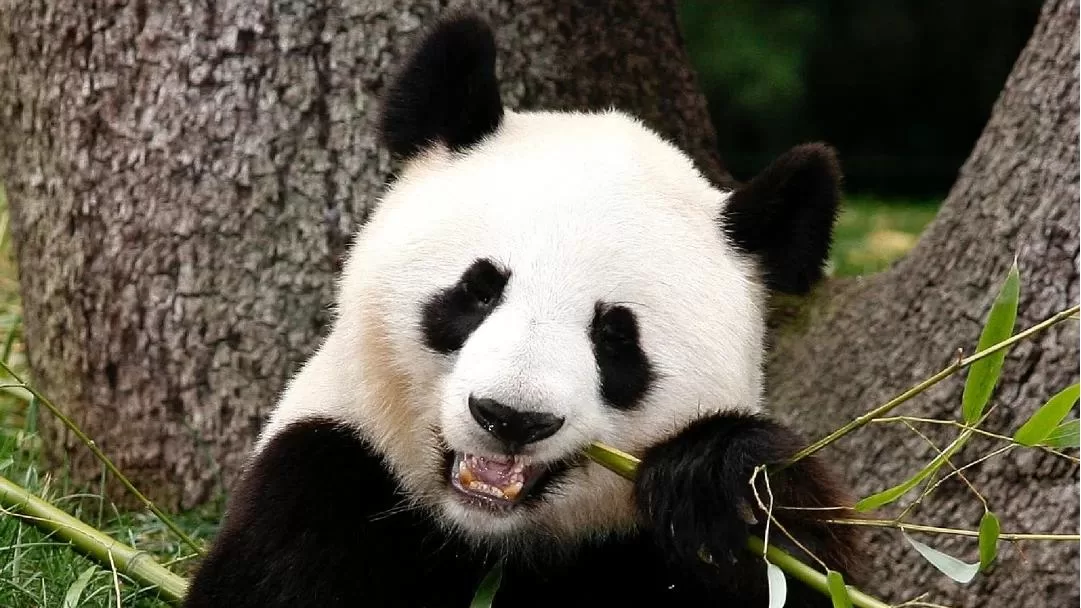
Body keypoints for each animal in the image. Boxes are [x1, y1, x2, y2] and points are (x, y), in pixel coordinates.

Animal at [183, 11, 867, 608]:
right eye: (479, 291)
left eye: (615, 337)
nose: (511, 418)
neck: (491, 535)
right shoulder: (323, 477)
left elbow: (793, 563)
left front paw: (716, 478)